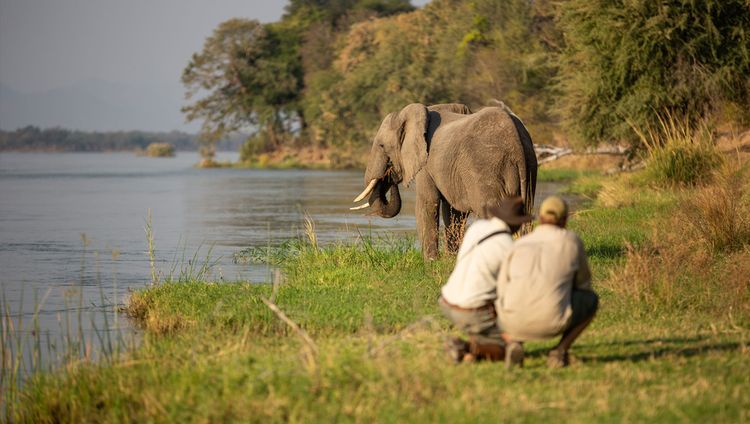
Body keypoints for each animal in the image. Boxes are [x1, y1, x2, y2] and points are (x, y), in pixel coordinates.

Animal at [350, 102, 536, 260]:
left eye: (381, 146)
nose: (390, 173)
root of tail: (515, 141)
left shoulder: (426, 163)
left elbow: (427, 203)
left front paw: (430, 262)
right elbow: (454, 212)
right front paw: (450, 259)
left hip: (486, 168)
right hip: (528, 167)